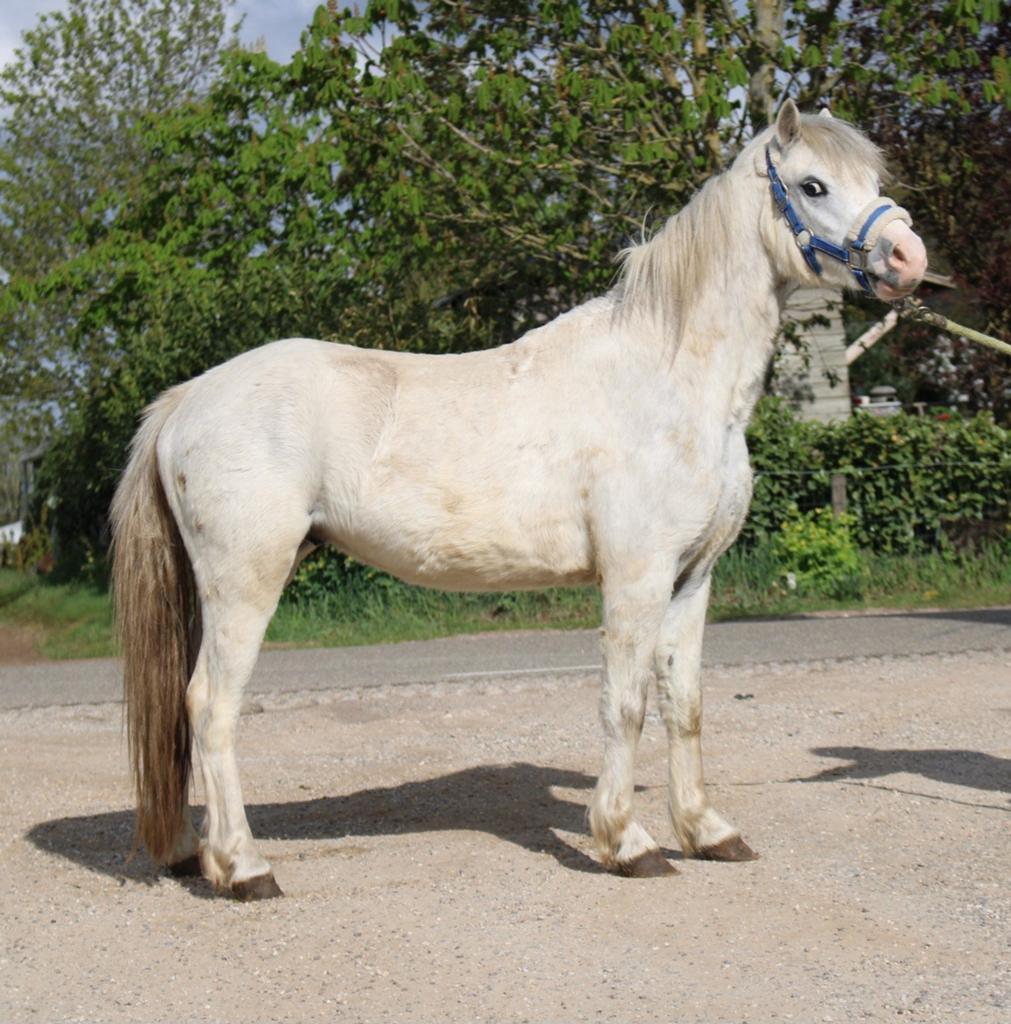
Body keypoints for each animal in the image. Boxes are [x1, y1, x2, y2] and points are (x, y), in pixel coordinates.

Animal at [111, 100, 927, 900]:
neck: (670, 379)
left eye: (871, 177)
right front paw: (627, 844)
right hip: (245, 582)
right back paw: (244, 867)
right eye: (814, 185)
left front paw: (707, 833)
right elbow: (624, 705)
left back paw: (195, 854)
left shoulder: (691, 579)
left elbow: (684, 705)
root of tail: (187, 400)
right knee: (210, 707)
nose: (906, 258)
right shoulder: (635, 578)